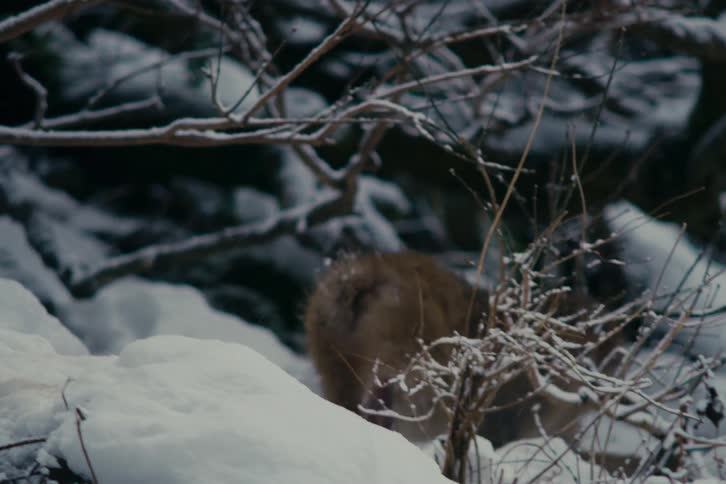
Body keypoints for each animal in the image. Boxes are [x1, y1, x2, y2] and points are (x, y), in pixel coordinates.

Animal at [304, 251, 625, 447]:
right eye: (580, 348)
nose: (591, 385)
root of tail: (361, 277)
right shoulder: (505, 420)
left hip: (331, 359)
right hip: (400, 358)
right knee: (379, 403)